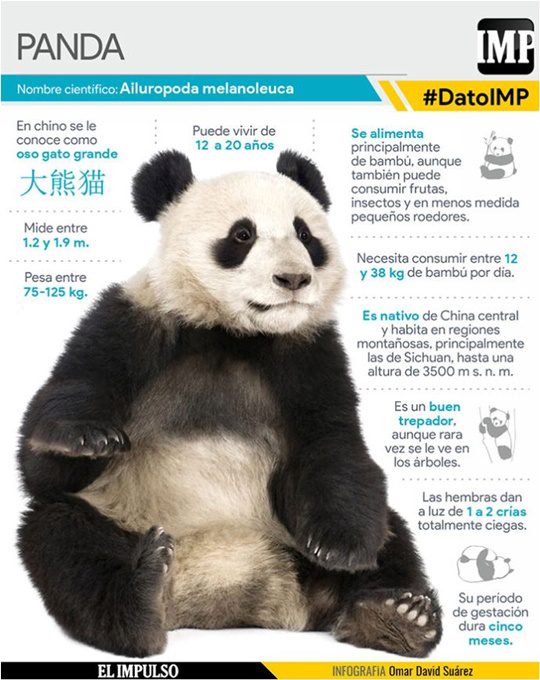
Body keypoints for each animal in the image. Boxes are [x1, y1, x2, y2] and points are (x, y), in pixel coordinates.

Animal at [17, 150, 442, 658]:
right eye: (242, 235)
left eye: (305, 234)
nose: (294, 278)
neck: (231, 333)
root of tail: (228, 594)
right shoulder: (130, 320)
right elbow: (44, 463)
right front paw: (86, 437)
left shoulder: (309, 354)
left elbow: (332, 445)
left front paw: (342, 549)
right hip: (117, 518)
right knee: (62, 539)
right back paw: (140, 601)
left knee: (390, 535)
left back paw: (395, 616)